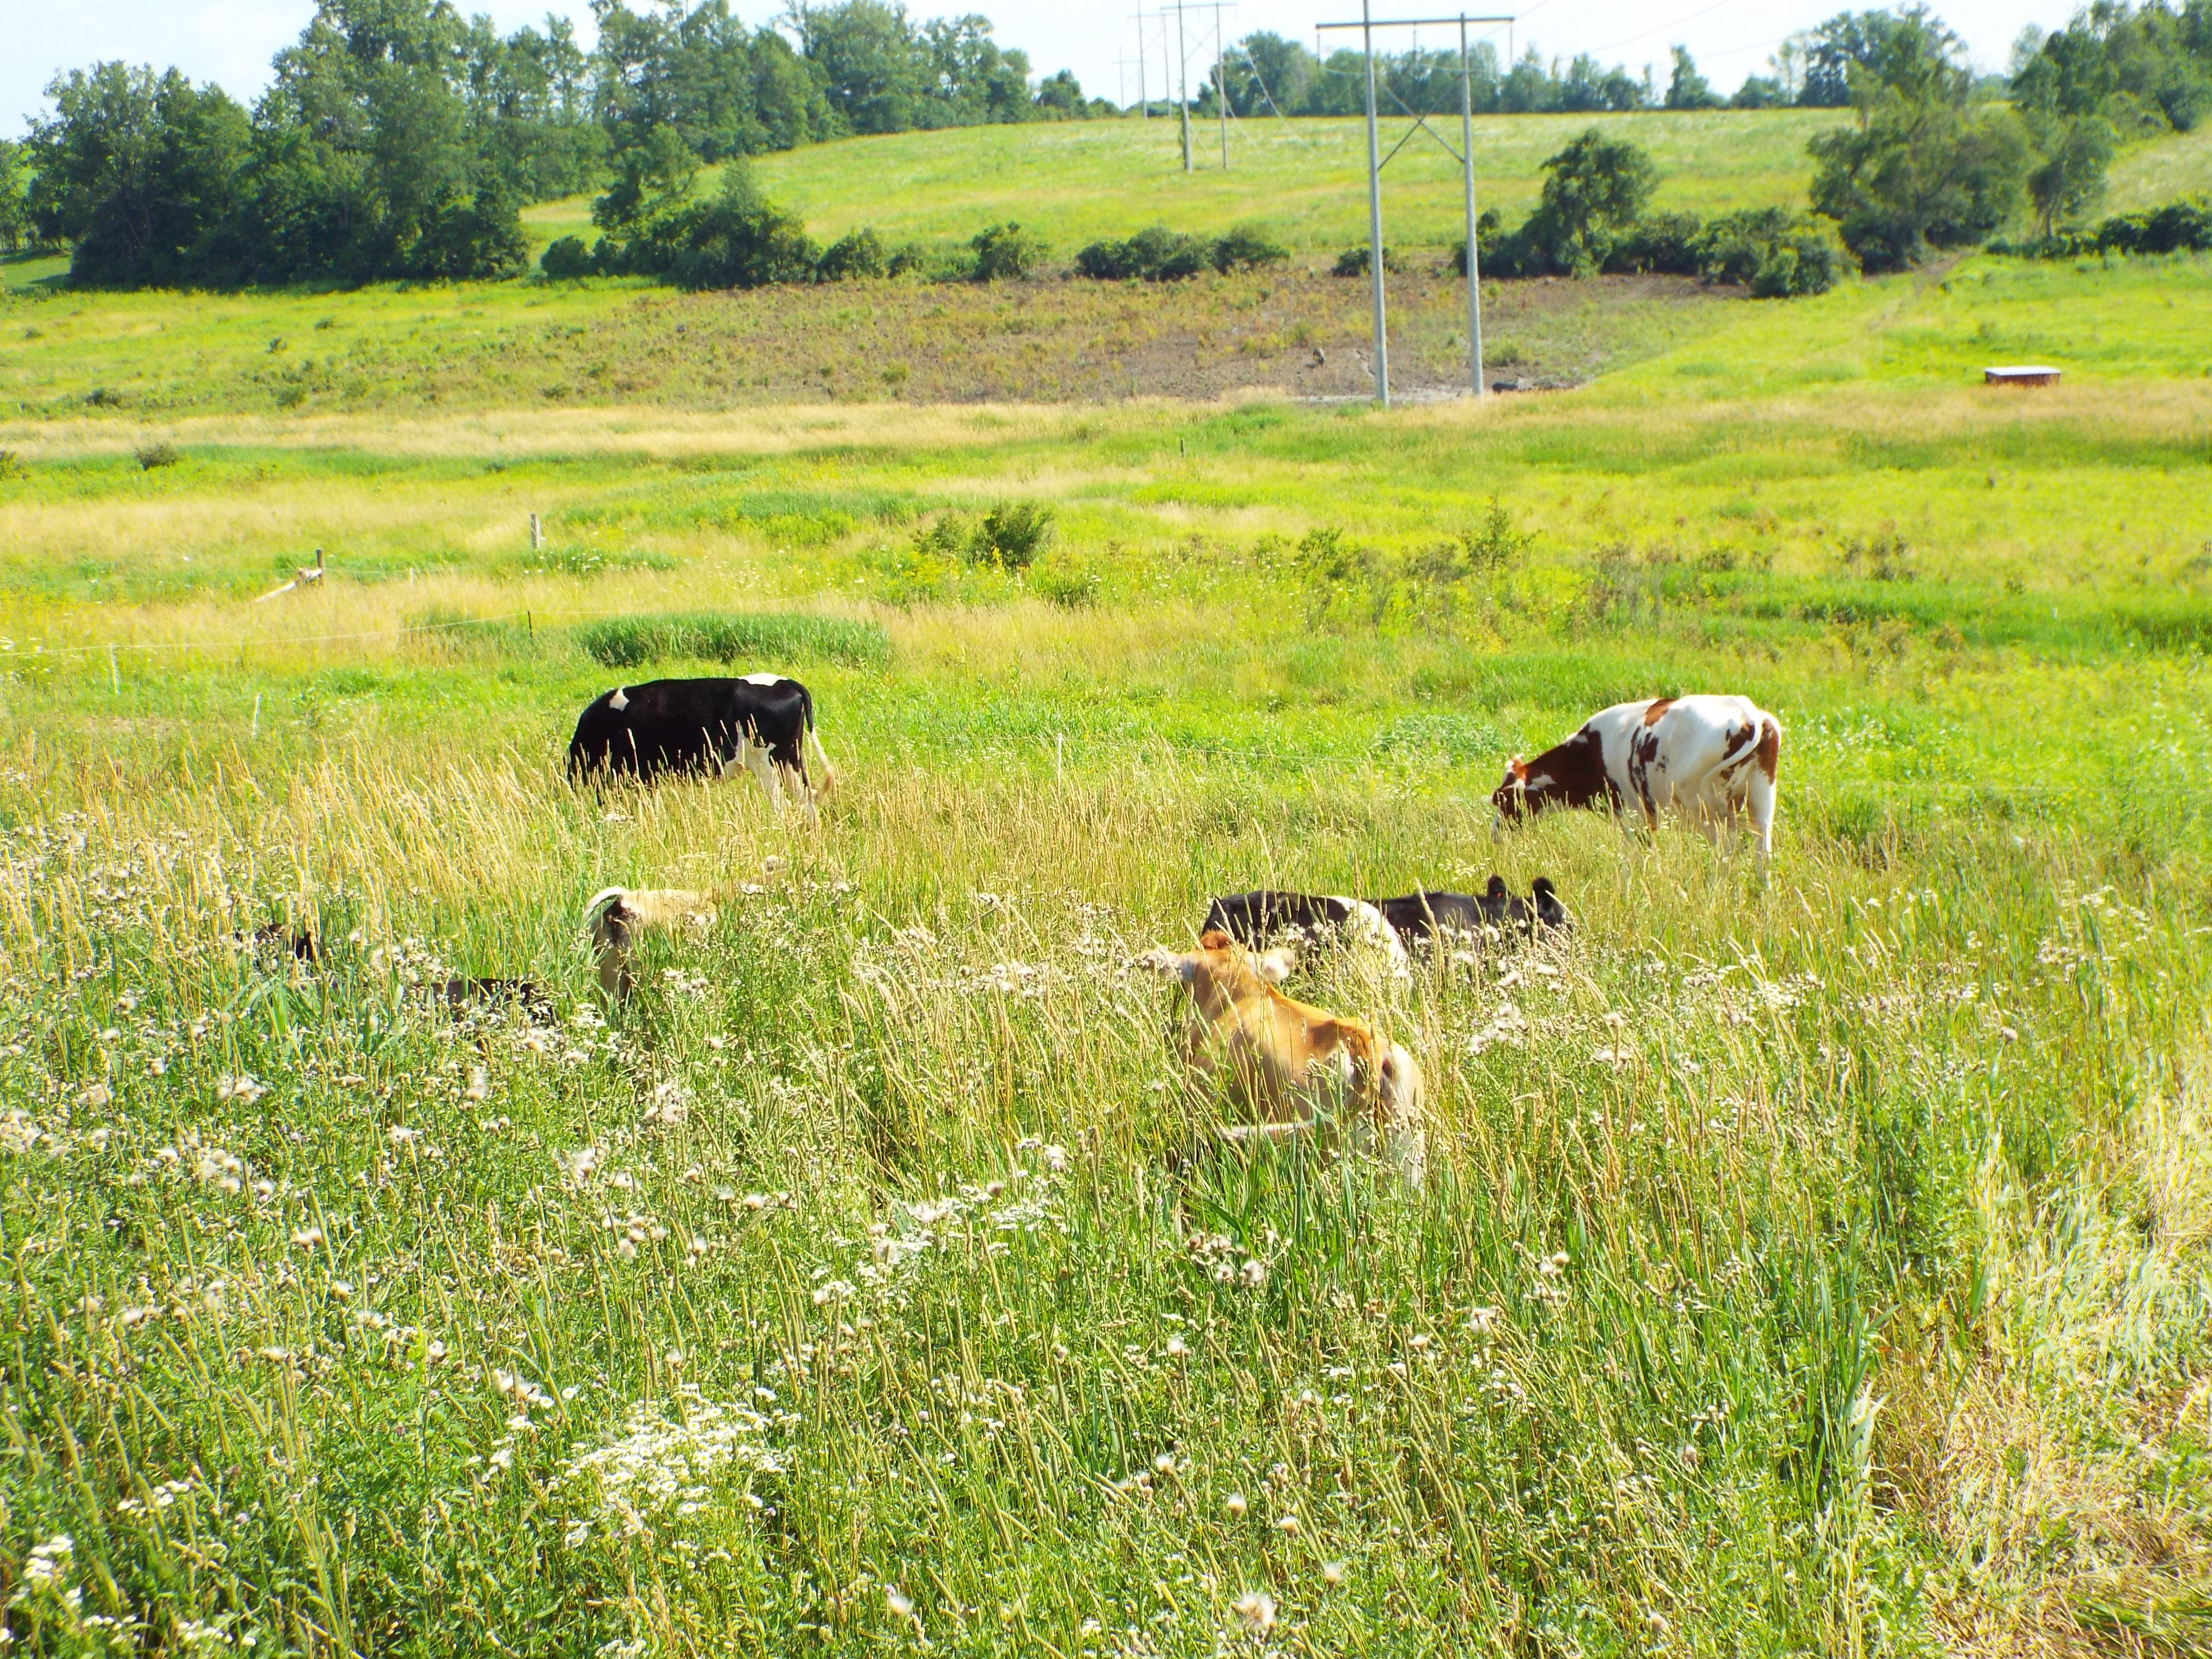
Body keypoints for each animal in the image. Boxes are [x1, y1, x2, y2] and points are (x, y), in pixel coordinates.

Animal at [1486, 690, 1778, 863]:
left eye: (1502, 799)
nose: (1495, 836)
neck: (1593, 750)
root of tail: (1748, 714)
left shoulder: (1634, 816)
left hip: (1708, 811)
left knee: (1725, 856)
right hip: (1761, 802)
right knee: (1762, 857)